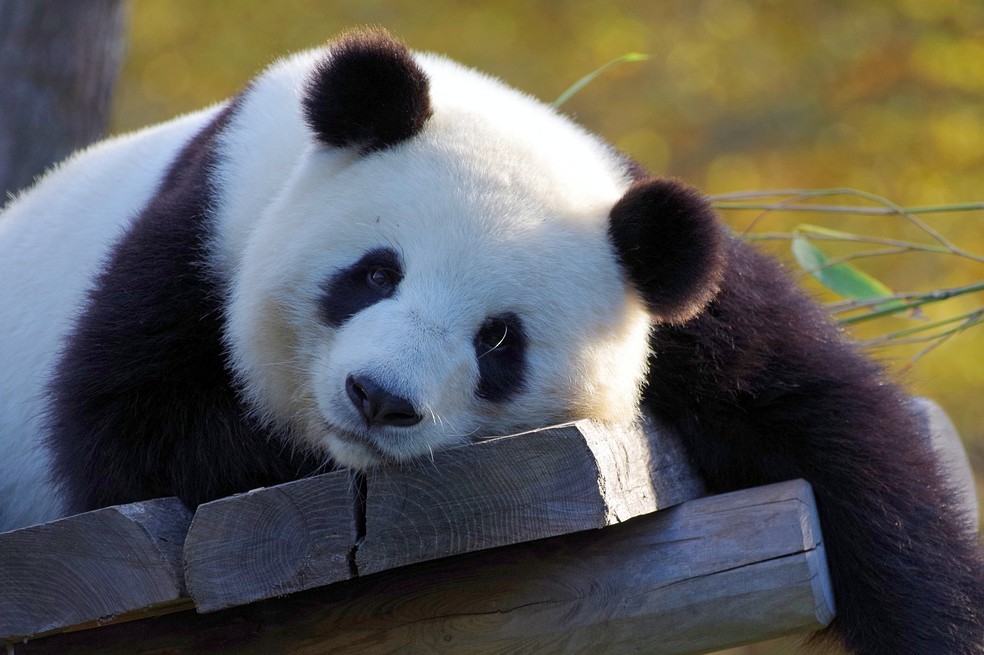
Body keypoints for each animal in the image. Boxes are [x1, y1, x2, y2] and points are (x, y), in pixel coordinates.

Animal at [0, 28, 980, 655]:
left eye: (499, 340)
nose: (379, 399)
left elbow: (838, 436)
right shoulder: (205, 229)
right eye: (376, 273)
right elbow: (131, 430)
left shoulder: (678, 299)